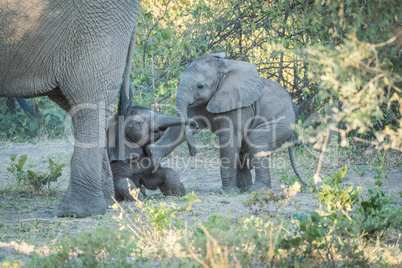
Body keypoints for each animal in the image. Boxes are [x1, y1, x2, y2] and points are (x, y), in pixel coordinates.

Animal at [146, 51, 306, 193]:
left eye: (200, 86)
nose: (193, 153)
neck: (223, 70)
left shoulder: (239, 104)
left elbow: (229, 138)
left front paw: (227, 192)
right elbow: (177, 129)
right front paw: (152, 158)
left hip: (281, 124)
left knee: (256, 143)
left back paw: (257, 190)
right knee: (244, 147)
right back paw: (244, 188)